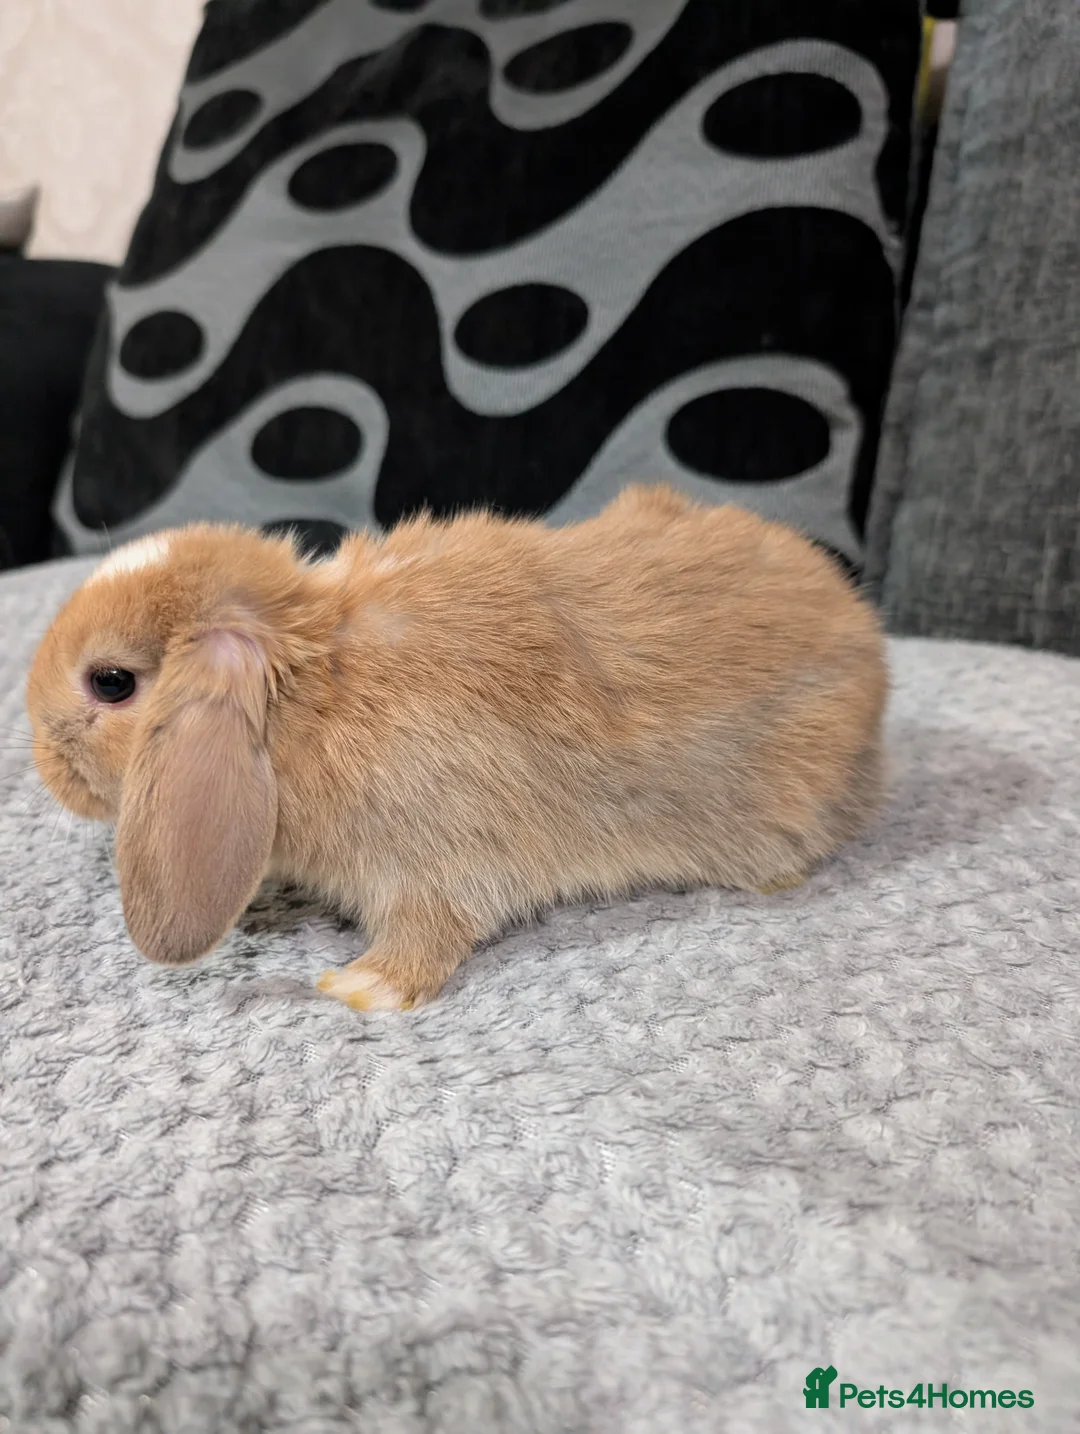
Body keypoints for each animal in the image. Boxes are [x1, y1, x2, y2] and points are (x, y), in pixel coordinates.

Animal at [26, 484, 888, 1011]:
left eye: (110, 683)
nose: (41, 764)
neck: (310, 688)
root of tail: (865, 635)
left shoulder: (435, 861)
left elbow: (430, 930)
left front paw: (358, 988)